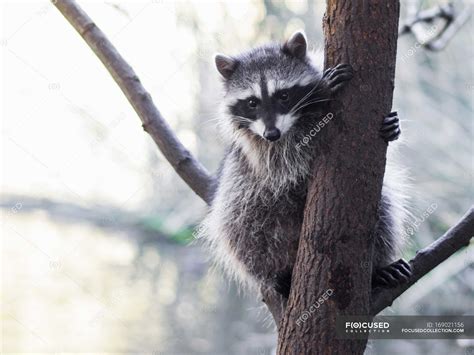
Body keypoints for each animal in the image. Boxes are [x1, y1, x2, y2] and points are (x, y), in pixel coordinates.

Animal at [198, 31, 410, 312]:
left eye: (283, 96)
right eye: (252, 102)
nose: (272, 133)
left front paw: (392, 128)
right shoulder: (260, 149)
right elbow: (287, 158)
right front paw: (322, 91)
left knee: (384, 207)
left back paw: (377, 270)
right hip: (243, 201)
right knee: (242, 224)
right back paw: (278, 274)